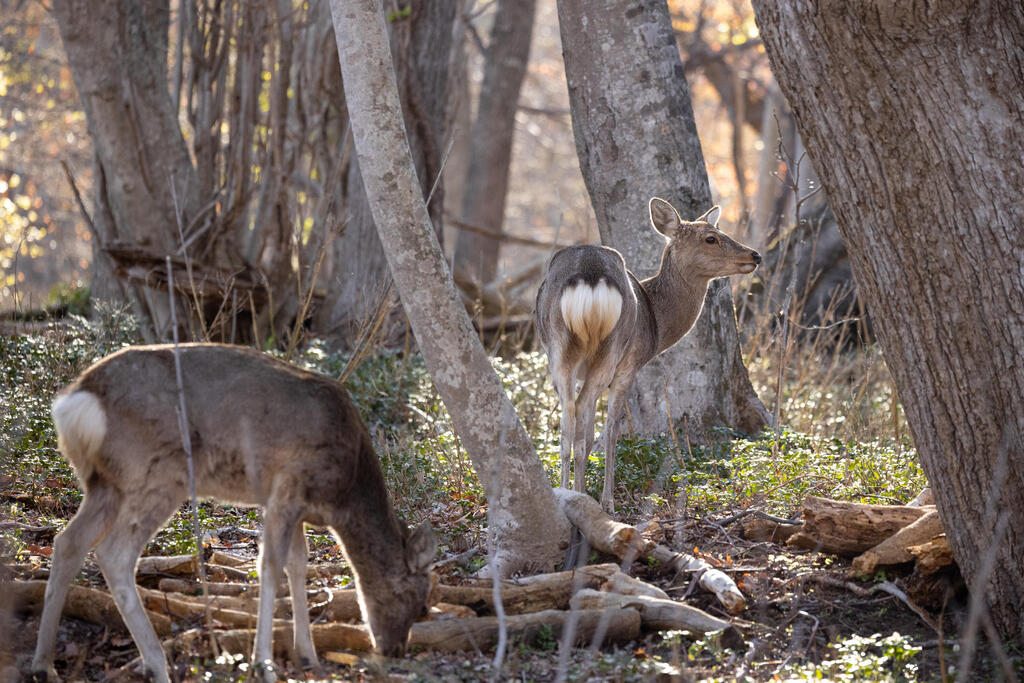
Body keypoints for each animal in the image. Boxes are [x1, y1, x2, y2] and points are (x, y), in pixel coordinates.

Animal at [30, 343, 437, 683]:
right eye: (420, 605)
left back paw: (44, 664)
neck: (343, 494)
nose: (394, 650)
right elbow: (270, 566)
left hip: (105, 484)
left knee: (68, 541)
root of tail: (73, 404)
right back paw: (156, 664)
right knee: (114, 553)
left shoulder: (292, 505)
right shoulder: (288, 485)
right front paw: (264, 664)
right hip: (157, 473)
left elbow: (298, 564)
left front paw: (307, 656)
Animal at [535, 197, 761, 512]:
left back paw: (567, 493)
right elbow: (607, 430)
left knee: (569, 417)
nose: (755, 255)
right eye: (711, 238)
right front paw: (603, 499)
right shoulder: (631, 364)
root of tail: (589, 277)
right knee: (596, 420)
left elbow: (586, 431)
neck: (657, 322)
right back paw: (599, 501)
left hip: (557, 347)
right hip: (613, 348)